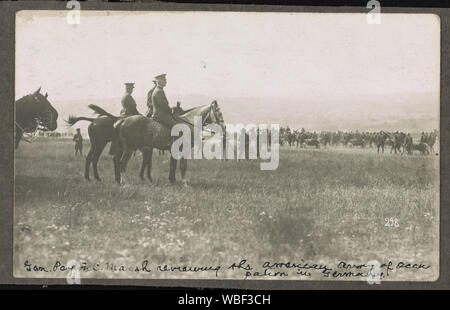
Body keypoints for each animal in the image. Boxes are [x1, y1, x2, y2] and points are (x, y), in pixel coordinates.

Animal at [89, 101, 225, 184]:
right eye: (218, 112)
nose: (223, 127)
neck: (188, 123)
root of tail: (122, 120)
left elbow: (172, 165)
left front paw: (172, 180)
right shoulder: (183, 149)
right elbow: (182, 165)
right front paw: (185, 182)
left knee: (116, 161)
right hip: (128, 148)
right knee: (121, 162)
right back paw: (124, 182)